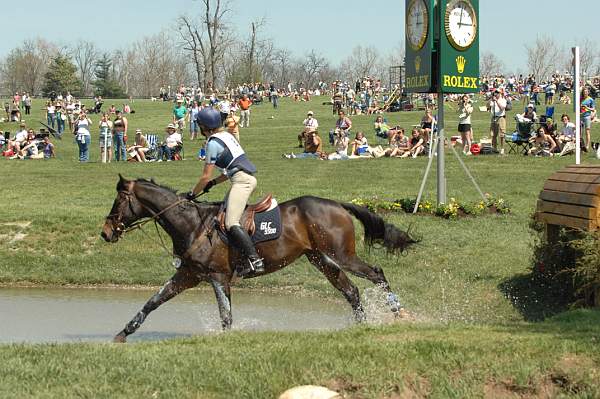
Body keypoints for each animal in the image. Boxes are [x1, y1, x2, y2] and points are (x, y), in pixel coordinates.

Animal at [101, 176, 418, 344]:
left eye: (118, 202)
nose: (106, 233)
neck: (191, 224)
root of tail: (336, 204)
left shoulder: (218, 277)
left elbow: (226, 315)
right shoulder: (188, 275)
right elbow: (152, 302)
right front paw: (122, 334)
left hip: (342, 255)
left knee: (376, 273)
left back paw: (399, 312)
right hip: (321, 258)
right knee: (351, 291)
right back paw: (361, 327)